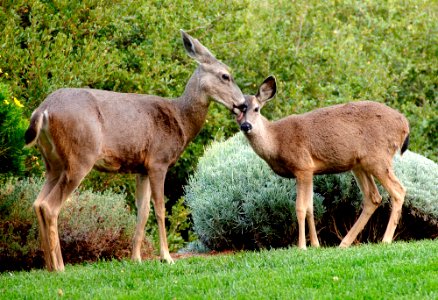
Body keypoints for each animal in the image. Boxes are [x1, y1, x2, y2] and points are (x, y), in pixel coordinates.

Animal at [24, 30, 246, 272]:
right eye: (225, 76)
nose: (243, 104)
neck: (181, 119)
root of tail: (43, 110)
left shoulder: (142, 167)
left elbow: (143, 211)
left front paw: (136, 258)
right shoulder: (159, 161)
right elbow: (160, 209)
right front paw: (166, 257)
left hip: (52, 163)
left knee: (37, 203)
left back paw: (48, 266)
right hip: (80, 156)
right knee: (49, 206)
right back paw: (60, 267)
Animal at [236, 76, 410, 250]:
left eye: (257, 109)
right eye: (236, 110)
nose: (246, 125)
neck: (276, 141)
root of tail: (405, 125)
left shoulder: (302, 166)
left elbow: (300, 207)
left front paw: (302, 246)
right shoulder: (310, 171)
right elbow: (310, 208)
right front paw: (315, 244)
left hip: (378, 158)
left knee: (398, 190)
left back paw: (385, 240)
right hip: (359, 165)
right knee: (373, 197)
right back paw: (344, 243)